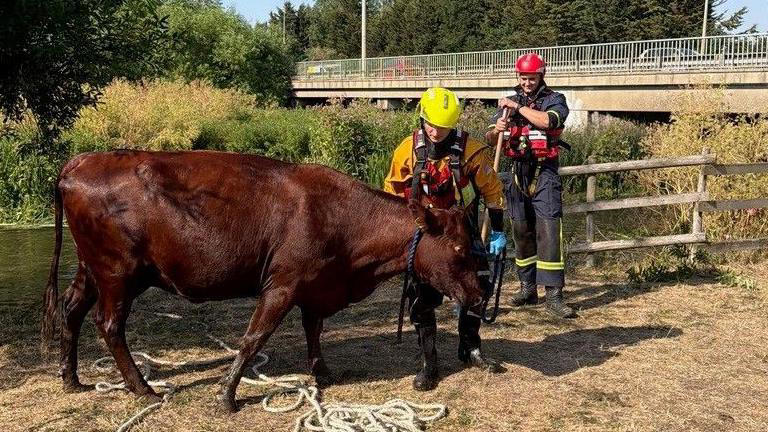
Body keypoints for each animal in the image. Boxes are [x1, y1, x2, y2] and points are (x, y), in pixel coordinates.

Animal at [41, 150, 490, 412]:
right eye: (459, 250)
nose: (478, 296)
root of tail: (79, 162)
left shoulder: (315, 286)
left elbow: (314, 330)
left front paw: (322, 373)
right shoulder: (282, 285)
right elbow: (254, 338)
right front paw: (226, 395)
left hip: (91, 269)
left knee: (71, 309)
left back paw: (72, 379)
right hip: (119, 273)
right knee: (109, 324)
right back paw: (142, 388)